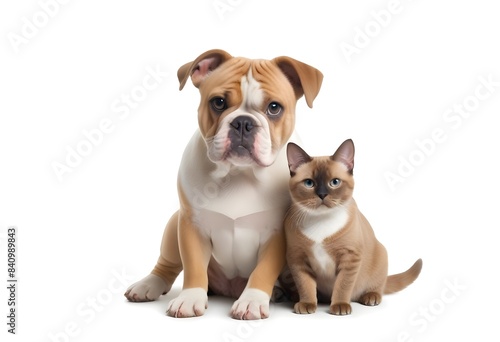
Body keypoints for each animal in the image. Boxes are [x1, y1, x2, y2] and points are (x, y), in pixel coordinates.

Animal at [284, 139, 420, 316]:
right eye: (309, 183)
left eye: (334, 182)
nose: (322, 194)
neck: (321, 221)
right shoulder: (297, 259)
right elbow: (305, 285)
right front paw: (307, 304)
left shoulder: (350, 258)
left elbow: (342, 286)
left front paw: (340, 306)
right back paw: (298, 297)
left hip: (381, 253)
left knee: (378, 287)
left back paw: (370, 297)